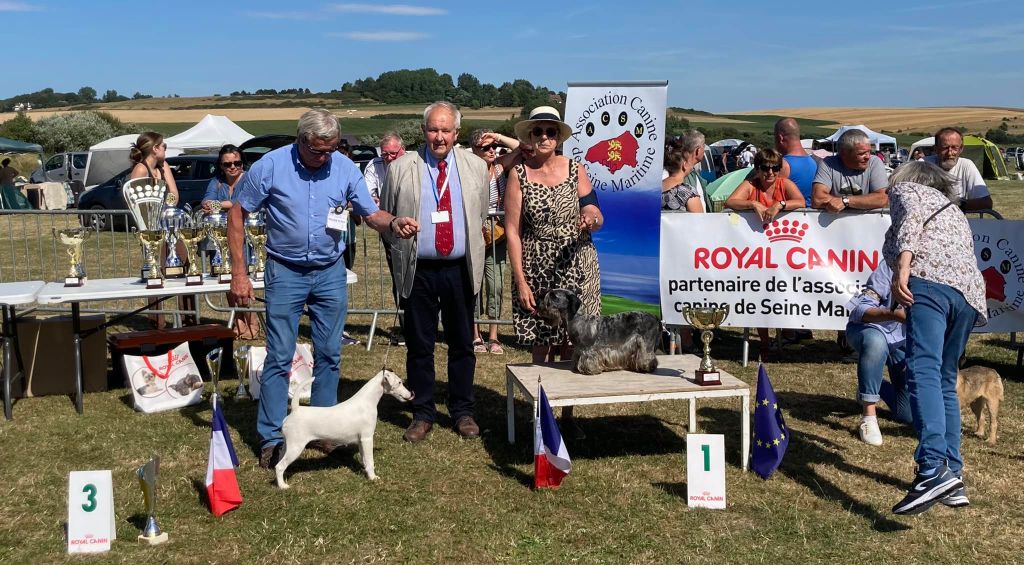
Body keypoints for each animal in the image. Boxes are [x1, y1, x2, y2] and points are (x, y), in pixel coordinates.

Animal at [276, 368, 415, 487]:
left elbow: (365, 459)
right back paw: (283, 486)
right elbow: (370, 461)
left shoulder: (361, 441)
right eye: (399, 382)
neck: (367, 401)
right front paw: (373, 478)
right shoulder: (367, 438)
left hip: (287, 445)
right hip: (296, 447)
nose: (411, 394)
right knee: (280, 466)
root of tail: (295, 409)